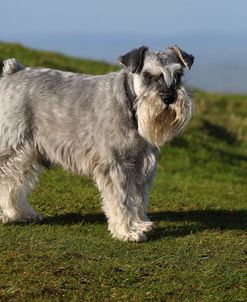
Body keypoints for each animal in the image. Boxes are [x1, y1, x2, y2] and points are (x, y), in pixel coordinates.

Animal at [0, 44, 194, 242]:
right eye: (147, 75)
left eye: (178, 75)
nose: (169, 98)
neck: (129, 105)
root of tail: (14, 71)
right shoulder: (116, 164)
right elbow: (122, 200)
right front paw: (127, 231)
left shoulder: (141, 164)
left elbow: (139, 197)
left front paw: (140, 223)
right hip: (12, 148)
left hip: (26, 155)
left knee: (14, 182)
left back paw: (20, 214)